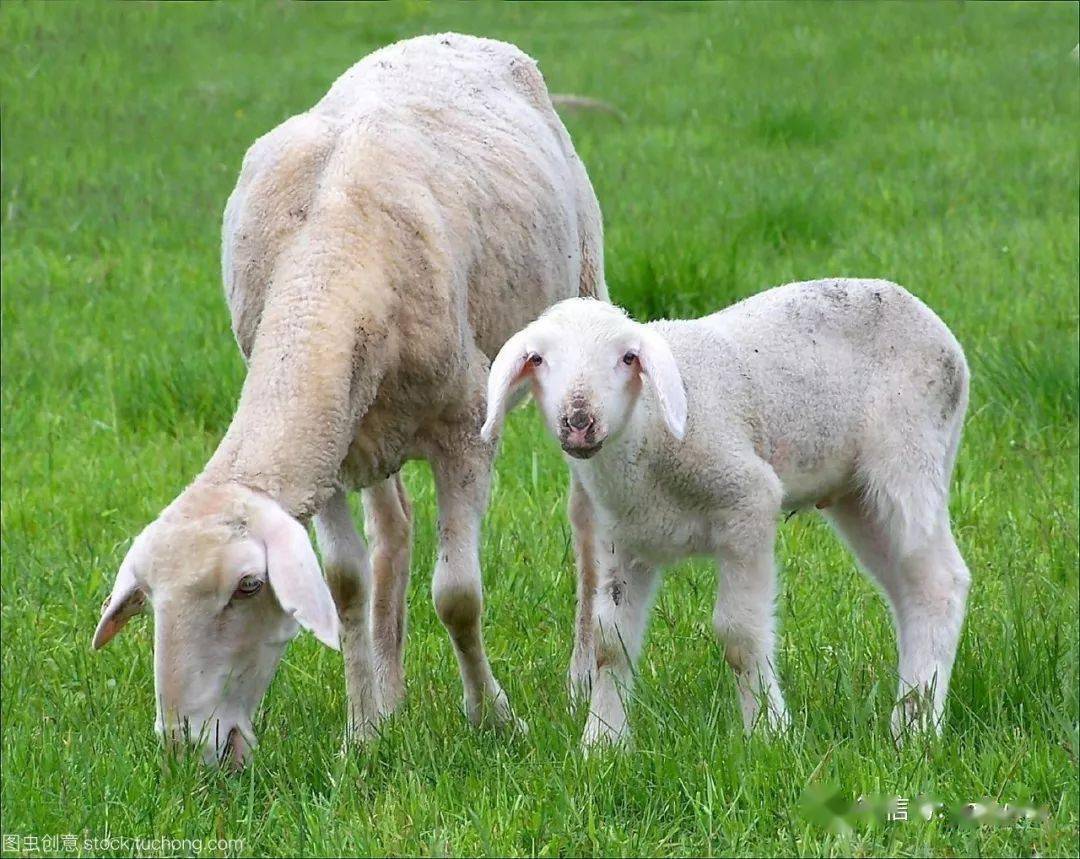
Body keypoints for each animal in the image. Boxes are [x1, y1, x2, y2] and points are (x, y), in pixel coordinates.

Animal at [90, 33, 609, 764]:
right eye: (152, 602)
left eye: (248, 586)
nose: (186, 747)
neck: (326, 261)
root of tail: (450, 37)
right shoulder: (330, 459)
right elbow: (345, 585)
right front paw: (363, 733)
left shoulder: (464, 428)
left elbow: (458, 595)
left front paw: (494, 719)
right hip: (369, 429)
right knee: (393, 529)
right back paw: (390, 696)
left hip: (581, 290)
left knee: (584, 514)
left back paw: (582, 676)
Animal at [481, 280, 972, 747]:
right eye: (538, 359)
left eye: (627, 357)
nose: (579, 421)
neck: (649, 433)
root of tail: (932, 322)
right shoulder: (623, 540)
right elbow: (609, 642)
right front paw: (603, 743)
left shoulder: (747, 502)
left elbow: (740, 635)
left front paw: (769, 732)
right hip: (857, 495)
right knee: (907, 588)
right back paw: (908, 712)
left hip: (908, 456)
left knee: (938, 582)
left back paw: (918, 727)